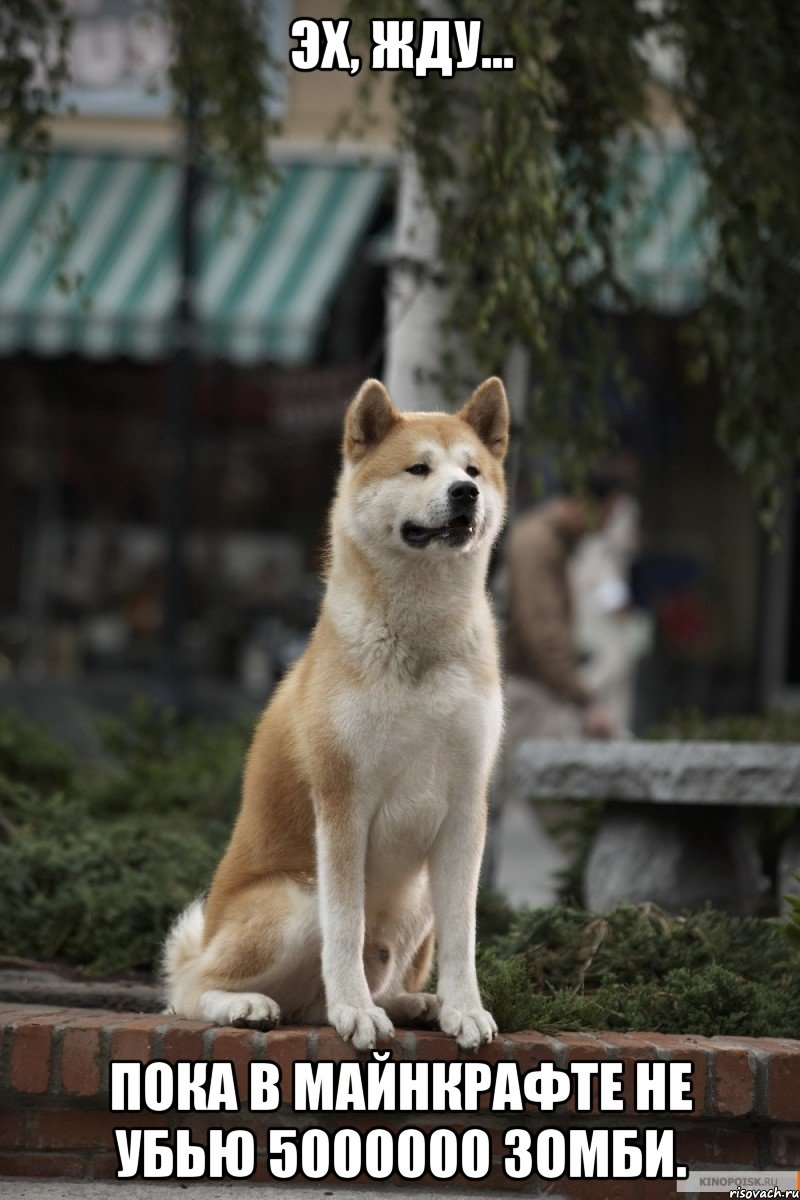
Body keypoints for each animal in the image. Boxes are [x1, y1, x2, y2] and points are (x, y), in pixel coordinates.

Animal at [163, 374, 510, 1051]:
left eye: (473, 470)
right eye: (418, 468)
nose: (466, 493)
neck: (420, 643)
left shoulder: (466, 806)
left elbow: (465, 934)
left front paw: (464, 1009)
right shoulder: (343, 800)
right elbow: (345, 928)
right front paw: (355, 1011)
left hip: (416, 900)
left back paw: (414, 1003)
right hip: (296, 900)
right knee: (189, 990)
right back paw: (250, 1005)